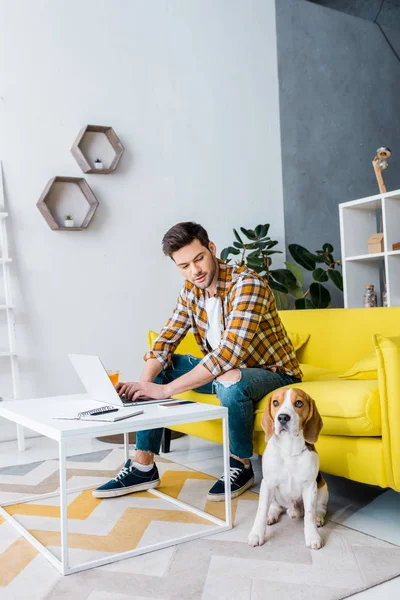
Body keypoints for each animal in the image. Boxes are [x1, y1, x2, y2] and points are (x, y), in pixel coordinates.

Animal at [248, 390, 330, 548]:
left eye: (299, 403)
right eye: (275, 402)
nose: (283, 417)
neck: (289, 450)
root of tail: (293, 510)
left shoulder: (310, 486)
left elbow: (309, 514)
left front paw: (312, 536)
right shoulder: (267, 483)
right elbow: (261, 510)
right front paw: (256, 534)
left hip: (323, 487)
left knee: (320, 508)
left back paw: (318, 517)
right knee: (275, 506)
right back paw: (271, 515)